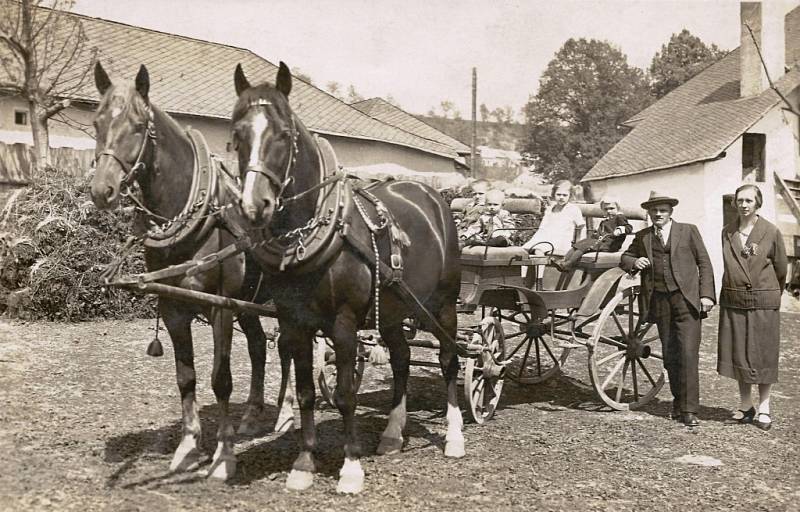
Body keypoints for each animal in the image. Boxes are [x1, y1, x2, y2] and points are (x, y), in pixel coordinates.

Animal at [88, 63, 294, 480]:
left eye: (138, 125)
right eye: (97, 122)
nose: (103, 190)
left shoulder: (220, 307)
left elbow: (221, 379)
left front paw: (223, 455)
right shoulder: (174, 308)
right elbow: (186, 376)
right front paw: (188, 445)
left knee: (290, 349)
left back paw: (285, 413)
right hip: (247, 303)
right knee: (258, 345)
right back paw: (252, 414)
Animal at [230, 62, 462, 494]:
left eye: (283, 134)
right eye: (237, 135)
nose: (254, 206)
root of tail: (433, 196)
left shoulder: (343, 322)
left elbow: (345, 395)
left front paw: (351, 468)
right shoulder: (294, 323)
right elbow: (306, 392)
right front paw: (303, 463)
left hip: (444, 304)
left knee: (449, 358)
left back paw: (455, 436)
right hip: (393, 309)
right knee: (402, 359)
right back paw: (392, 432)